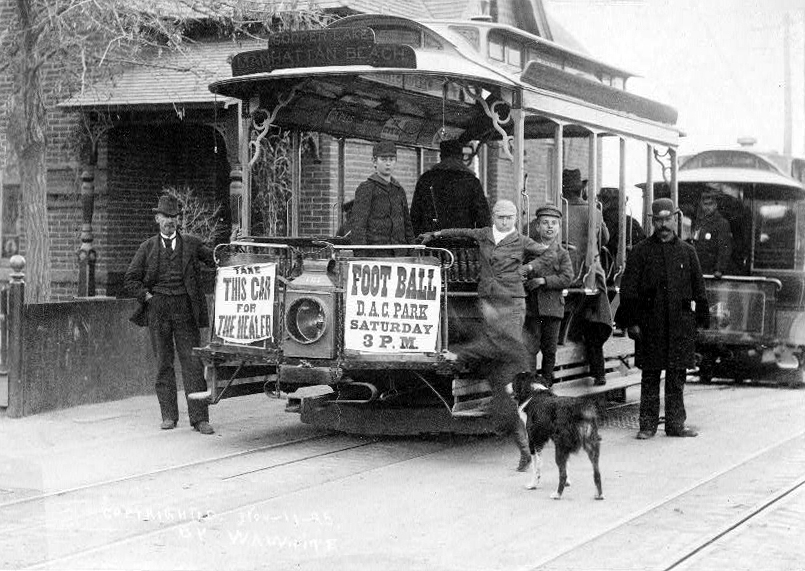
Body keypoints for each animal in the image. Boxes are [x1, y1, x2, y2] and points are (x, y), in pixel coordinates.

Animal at [508, 370, 604, 500]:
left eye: (513, 381)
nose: (506, 386)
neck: (533, 392)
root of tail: (580, 410)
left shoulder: (533, 442)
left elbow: (536, 468)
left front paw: (533, 485)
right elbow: (567, 466)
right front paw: (568, 482)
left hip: (560, 447)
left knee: (562, 475)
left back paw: (557, 494)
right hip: (591, 447)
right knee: (597, 473)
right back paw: (598, 494)